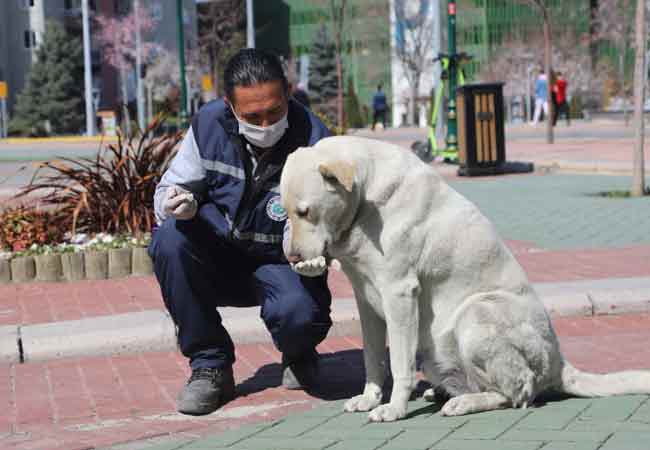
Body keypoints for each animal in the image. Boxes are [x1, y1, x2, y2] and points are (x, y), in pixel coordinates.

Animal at [278, 136, 648, 422]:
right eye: (284, 212)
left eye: (305, 211)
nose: (292, 257)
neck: (366, 195)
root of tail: (559, 363)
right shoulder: (366, 299)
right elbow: (372, 357)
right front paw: (369, 398)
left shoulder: (399, 293)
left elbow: (398, 363)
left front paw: (394, 409)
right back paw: (441, 392)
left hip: (476, 313)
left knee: (519, 392)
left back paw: (464, 402)